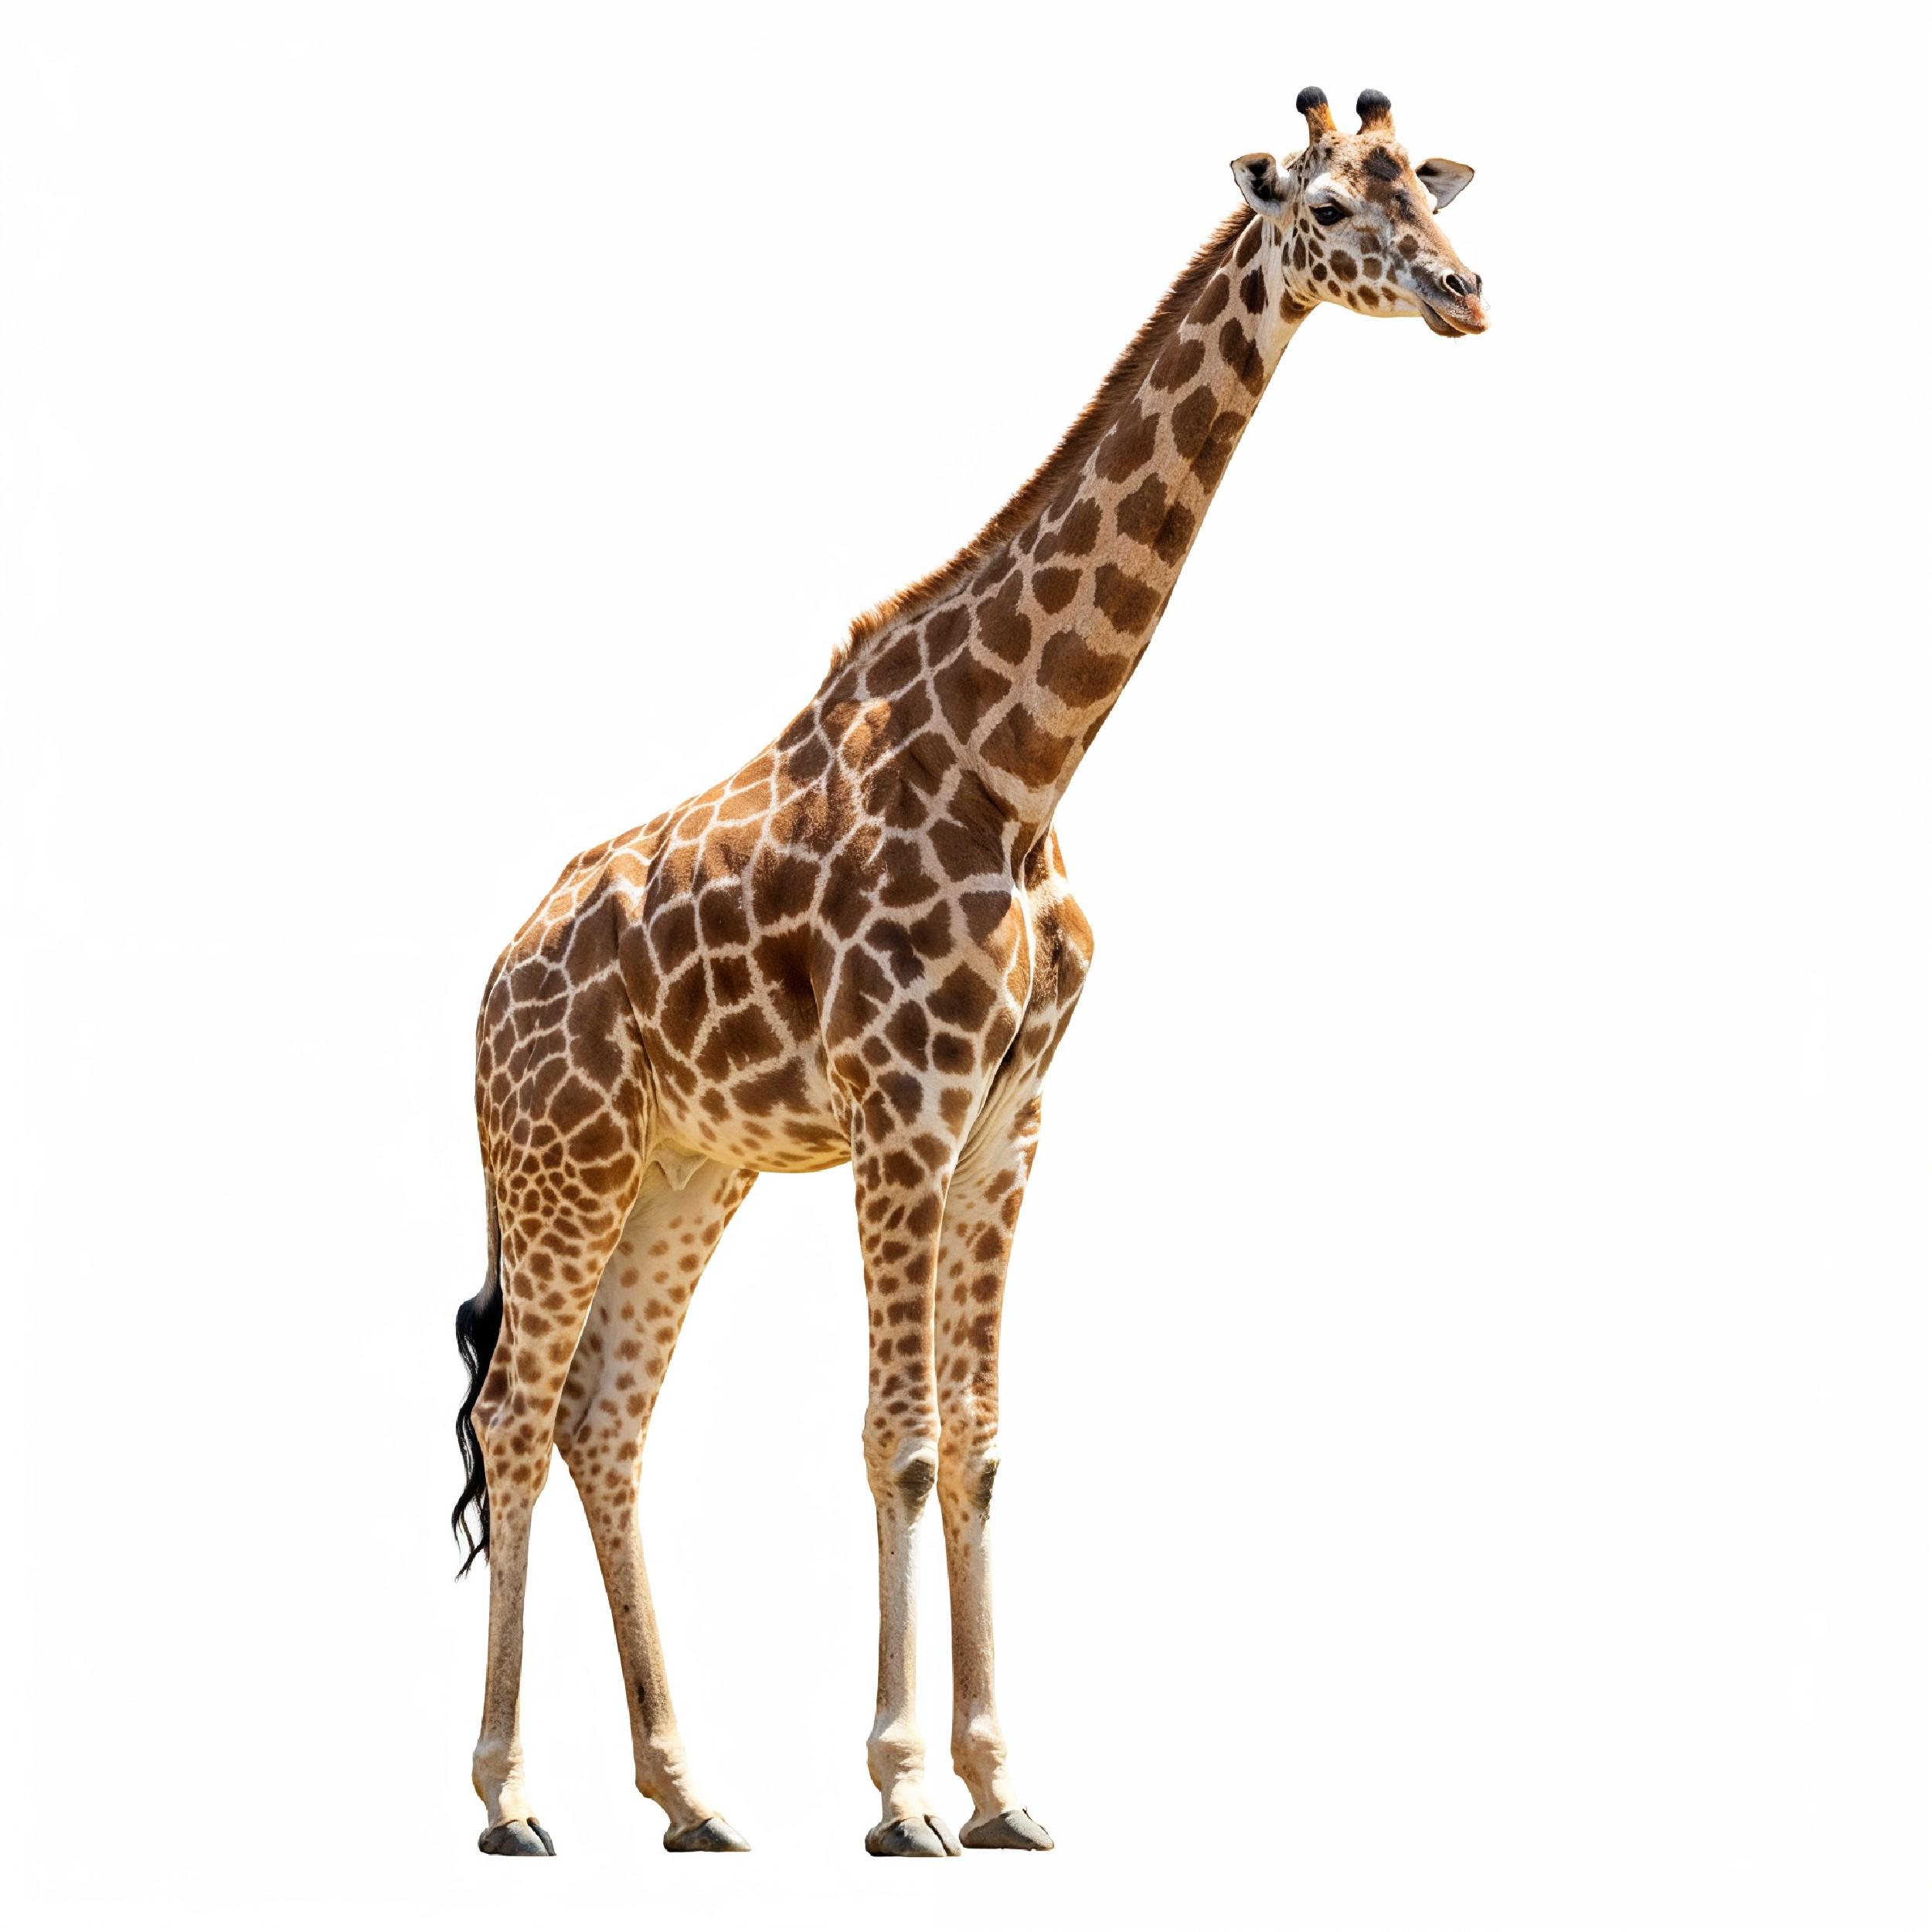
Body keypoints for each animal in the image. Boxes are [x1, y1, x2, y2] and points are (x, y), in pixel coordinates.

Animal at [452, 85, 1485, 1860]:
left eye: (1424, 185)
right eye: (1327, 208)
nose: (1465, 290)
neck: (1025, 762)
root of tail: (486, 989)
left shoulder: (1009, 1119)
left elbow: (980, 1442)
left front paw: (1003, 1785)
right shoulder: (904, 1111)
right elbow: (896, 1440)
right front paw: (904, 1790)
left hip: (683, 1169)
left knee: (605, 1417)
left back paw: (691, 1794)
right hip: (559, 1157)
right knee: (517, 1415)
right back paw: (513, 1799)